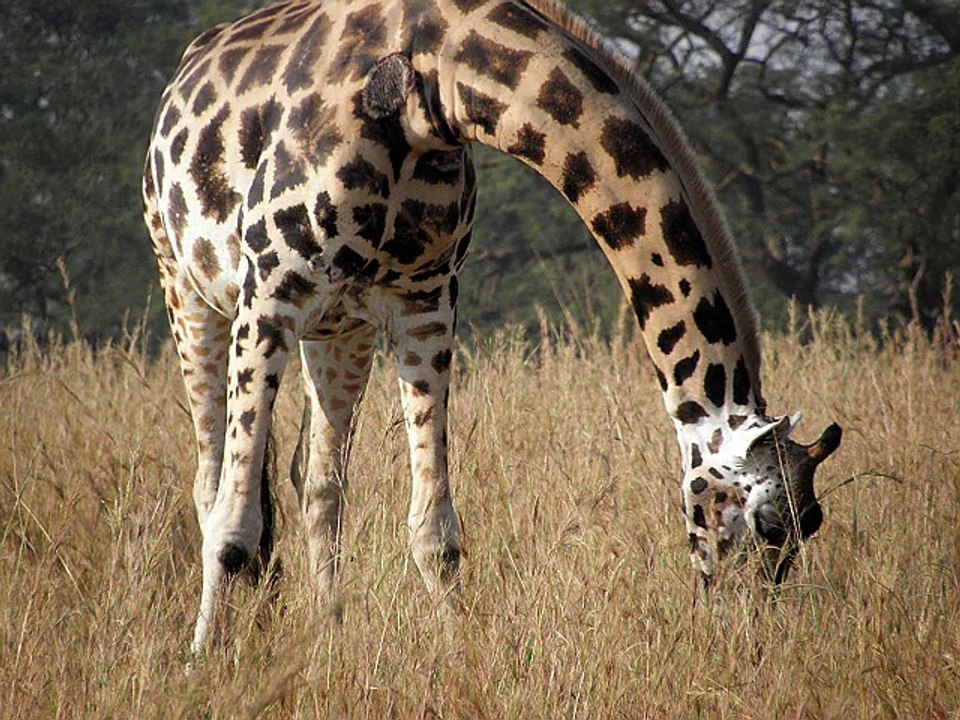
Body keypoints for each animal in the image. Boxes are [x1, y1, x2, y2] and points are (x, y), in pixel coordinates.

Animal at [143, 0, 842, 651]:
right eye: (771, 525)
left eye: (813, 522)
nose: (750, 634)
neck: (434, 82)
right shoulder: (271, 290)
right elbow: (233, 526)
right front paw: (203, 661)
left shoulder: (425, 302)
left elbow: (434, 532)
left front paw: (460, 650)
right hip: (190, 292)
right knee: (212, 483)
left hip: (341, 329)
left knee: (316, 484)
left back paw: (328, 636)